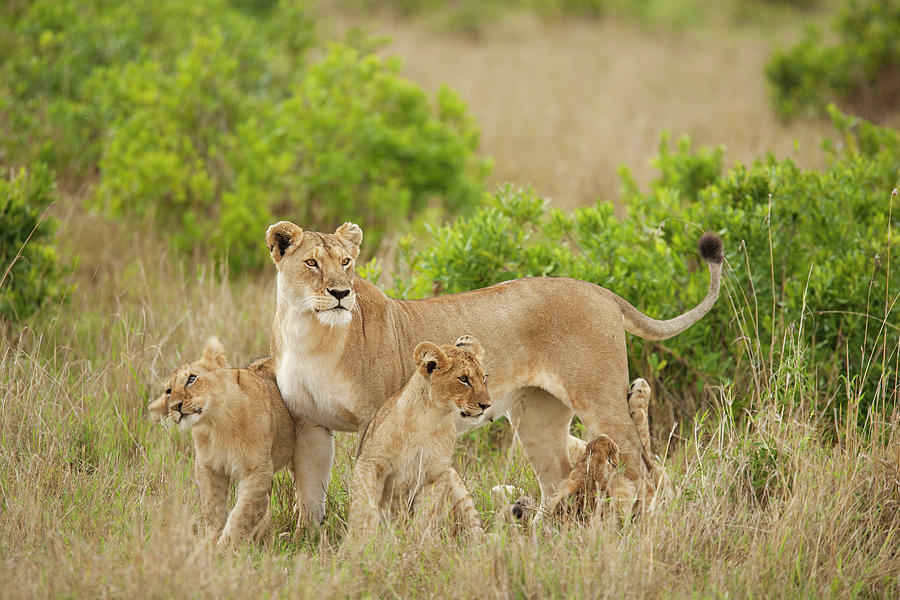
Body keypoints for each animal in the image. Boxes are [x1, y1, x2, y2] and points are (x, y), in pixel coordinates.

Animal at [268, 220, 724, 524]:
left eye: (347, 262)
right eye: (311, 263)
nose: (340, 293)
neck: (311, 333)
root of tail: (602, 291)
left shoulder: (374, 419)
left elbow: (372, 486)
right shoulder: (309, 423)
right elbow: (310, 491)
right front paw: (314, 541)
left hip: (600, 398)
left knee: (644, 471)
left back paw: (640, 530)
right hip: (537, 419)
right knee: (560, 477)